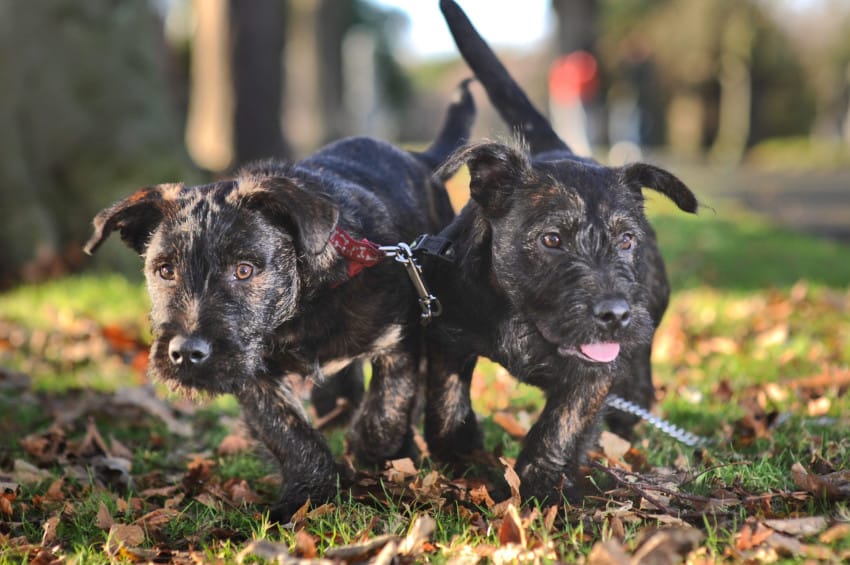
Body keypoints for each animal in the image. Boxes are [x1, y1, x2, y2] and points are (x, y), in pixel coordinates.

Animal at [86, 83, 476, 520]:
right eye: (165, 270)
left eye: (244, 270)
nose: (186, 353)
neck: (303, 308)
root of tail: (418, 157)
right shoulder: (255, 375)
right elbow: (288, 432)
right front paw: (306, 496)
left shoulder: (398, 338)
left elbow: (386, 410)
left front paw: (378, 457)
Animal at [412, 0, 696, 502]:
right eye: (551, 240)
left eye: (626, 240)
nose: (615, 314)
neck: (522, 320)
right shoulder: (445, 334)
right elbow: (445, 407)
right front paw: (463, 457)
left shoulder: (597, 370)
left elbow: (561, 423)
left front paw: (540, 488)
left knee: (637, 389)